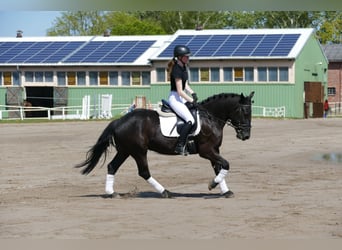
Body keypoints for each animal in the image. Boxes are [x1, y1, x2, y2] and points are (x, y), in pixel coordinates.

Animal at [75, 91, 254, 198]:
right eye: (244, 112)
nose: (245, 135)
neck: (210, 118)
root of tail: (119, 121)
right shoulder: (207, 150)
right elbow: (226, 164)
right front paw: (212, 184)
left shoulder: (214, 150)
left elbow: (219, 167)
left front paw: (225, 190)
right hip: (138, 151)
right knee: (144, 172)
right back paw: (165, 191)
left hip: (125, 151)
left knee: (112, 166)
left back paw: (111, 193)